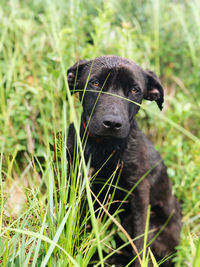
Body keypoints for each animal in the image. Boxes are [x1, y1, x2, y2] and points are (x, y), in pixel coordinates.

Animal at [67, 55, 181, 266]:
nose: (112, 124)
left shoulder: (139, 194)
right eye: (95, 83)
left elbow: (140, 243)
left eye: (135, 90)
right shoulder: (78, 185)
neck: (105, 148)